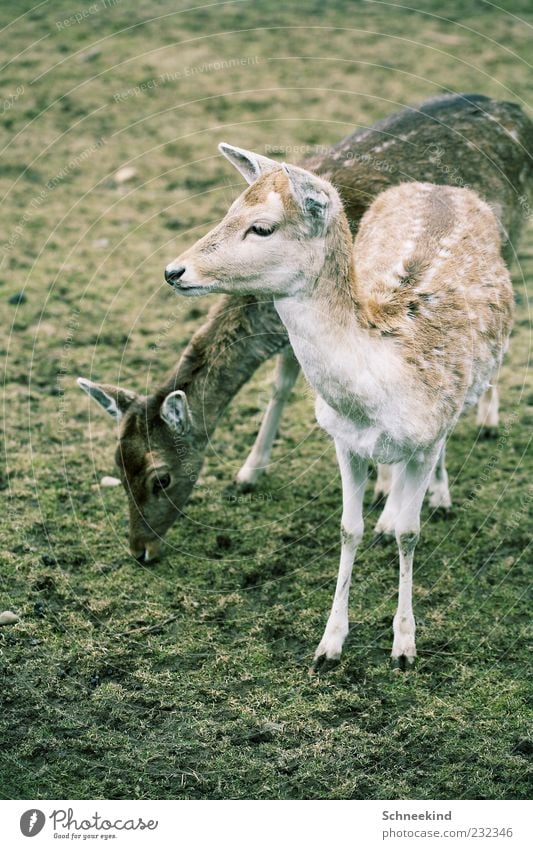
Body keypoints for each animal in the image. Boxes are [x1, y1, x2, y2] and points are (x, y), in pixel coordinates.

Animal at [77, 94, 528, 564]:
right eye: (116, 466)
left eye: (160, 477)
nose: (139, 550)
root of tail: (508, 104)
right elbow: (282, 385)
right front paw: (250, 471)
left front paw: (394, 495)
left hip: (512, 234)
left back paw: (484, 422)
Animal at [164, 144, 512, 668]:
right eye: (229, 210)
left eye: (261, 227)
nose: (174, 271)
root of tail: (443, 187)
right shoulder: (343, 440)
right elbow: (349, 529)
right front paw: (329, 643)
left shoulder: (427, 433)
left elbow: (411, 532)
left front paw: (404, 646)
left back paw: (437, 495)